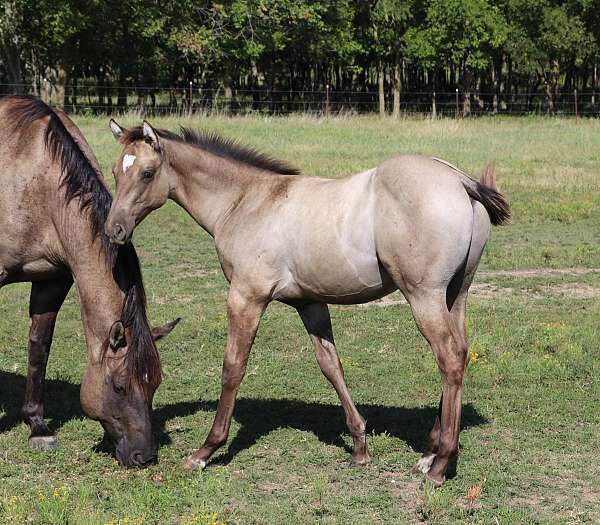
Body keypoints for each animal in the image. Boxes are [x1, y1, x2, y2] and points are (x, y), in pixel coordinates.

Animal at [0, 98, 178, 466]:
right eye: (119, 387)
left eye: (155, 383)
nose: (144, 456)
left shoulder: (53, 279)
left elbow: (39, 347)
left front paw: (37, 426)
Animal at [105, 118, 508, 484]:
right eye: (114, 171)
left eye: (146, 173)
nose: (114, 230)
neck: (246, 202)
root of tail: (460, 180)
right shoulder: (309, 302)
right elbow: (331, 365)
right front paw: (359, 447)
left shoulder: (246, 297)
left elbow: (233, 368)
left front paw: (205, 452)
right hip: (455, 295)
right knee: (460, 353)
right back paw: (428, 455)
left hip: (424, 296)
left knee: (449, 357)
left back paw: (439, 466)